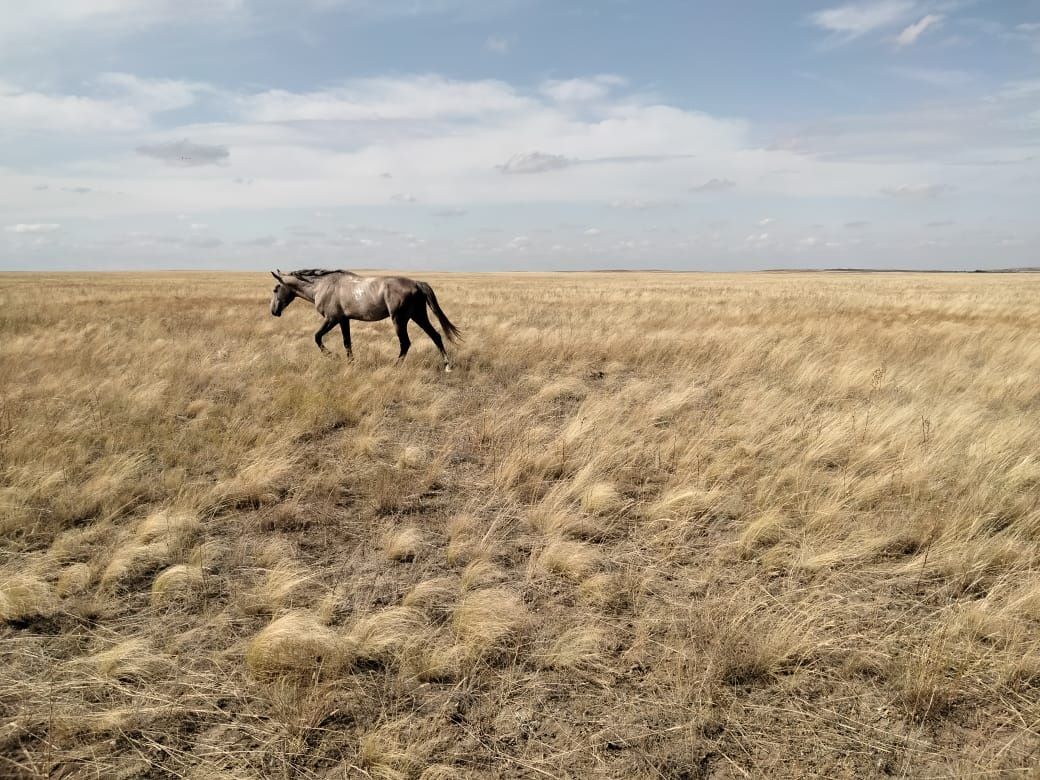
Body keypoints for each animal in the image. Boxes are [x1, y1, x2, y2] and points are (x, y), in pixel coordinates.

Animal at [270, 268, 461, 372]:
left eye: (275, 289)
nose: (273, 311)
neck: (321, 286)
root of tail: (417, 283)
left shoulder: (332, 319)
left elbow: (317, 337)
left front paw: (333, 356)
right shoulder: (343, 320)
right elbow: (347, 342)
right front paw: (351, 363)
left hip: (399, 319)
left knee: (405, 343)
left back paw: (395, 366)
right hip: (418, 316)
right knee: (436, 336)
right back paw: (447, 366)